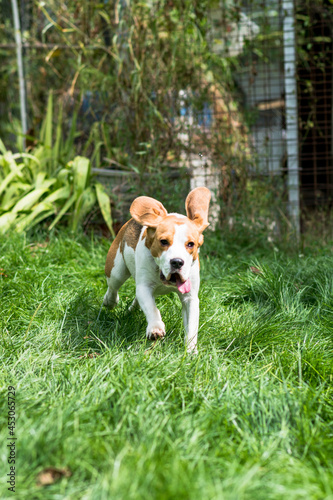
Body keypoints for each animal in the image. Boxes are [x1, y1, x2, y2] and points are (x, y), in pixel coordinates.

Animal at [103, 187, 210, 352]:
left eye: (191, 244)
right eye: (163, 241)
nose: (177, 262)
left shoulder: (190, 297)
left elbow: (192, 326)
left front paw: (191, 351)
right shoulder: (144, 287)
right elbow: (152, 309)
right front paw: (155, 328)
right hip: (117, 270)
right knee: (113, 287)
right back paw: (110, 301)